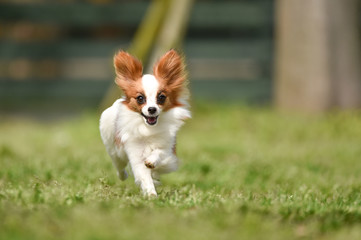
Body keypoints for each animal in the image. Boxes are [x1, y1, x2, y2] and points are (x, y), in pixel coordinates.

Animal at [97, 49, 190, 196]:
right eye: (140, 98)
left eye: (161, 97)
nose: (152, 109)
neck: (148, 127)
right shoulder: (135, 154)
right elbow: (144, 176)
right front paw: (151, 194)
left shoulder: (168, 148)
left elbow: (159, 152)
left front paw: (152, 161)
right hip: (113, 150)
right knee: (119, 166)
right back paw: (122, 175)